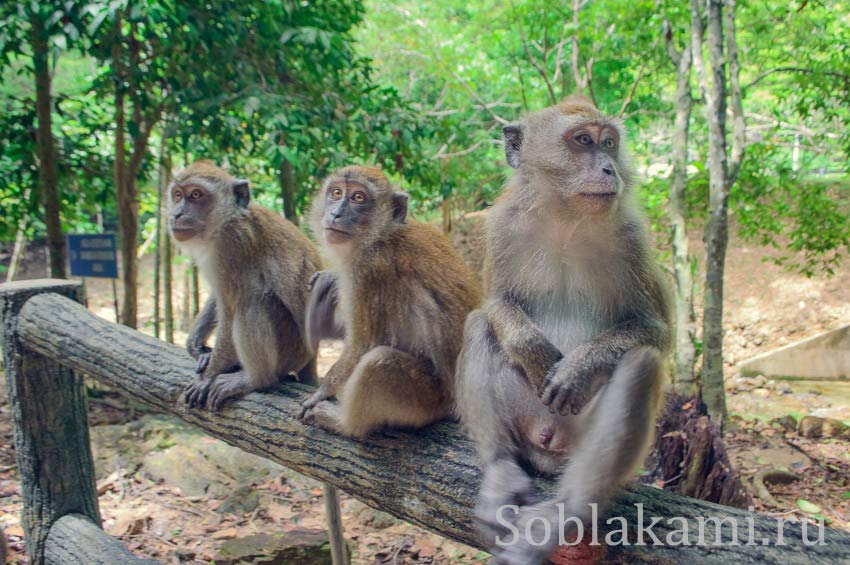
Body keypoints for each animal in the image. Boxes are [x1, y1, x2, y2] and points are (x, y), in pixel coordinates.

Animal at [167, 159, 320, 410]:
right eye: (178, 195)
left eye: (196, 194)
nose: (177, 214)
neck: (226, 221)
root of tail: (312, 357)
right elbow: (219, 296)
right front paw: (196, 344)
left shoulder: (233, 247)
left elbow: (230, 310)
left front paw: (209, 376)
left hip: (293, 351)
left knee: (254, 299)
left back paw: (257, 379)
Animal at [296, 164, 476, 436]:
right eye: (336, 193)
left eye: (358, 198)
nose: (336, 213)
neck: (382, 235)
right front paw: (330, 279)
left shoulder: (370, 269)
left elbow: (362, 346)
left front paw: (322, 392)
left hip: (428, 400)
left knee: (379, 361)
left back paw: (344, 424)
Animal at [454, 97, 672, 564]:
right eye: (583, 140)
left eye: (609, 143)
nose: (609, 168)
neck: (566, 220)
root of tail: (551, 446)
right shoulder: (500, 226)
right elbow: (496, 302)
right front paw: (533, 349)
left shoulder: (633, 240)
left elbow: (655, 331)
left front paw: (578, 369)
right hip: (527, 417)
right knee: (480, 326)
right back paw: (500, 471)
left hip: (580, 436)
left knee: (641, 364)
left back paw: (566, 510)